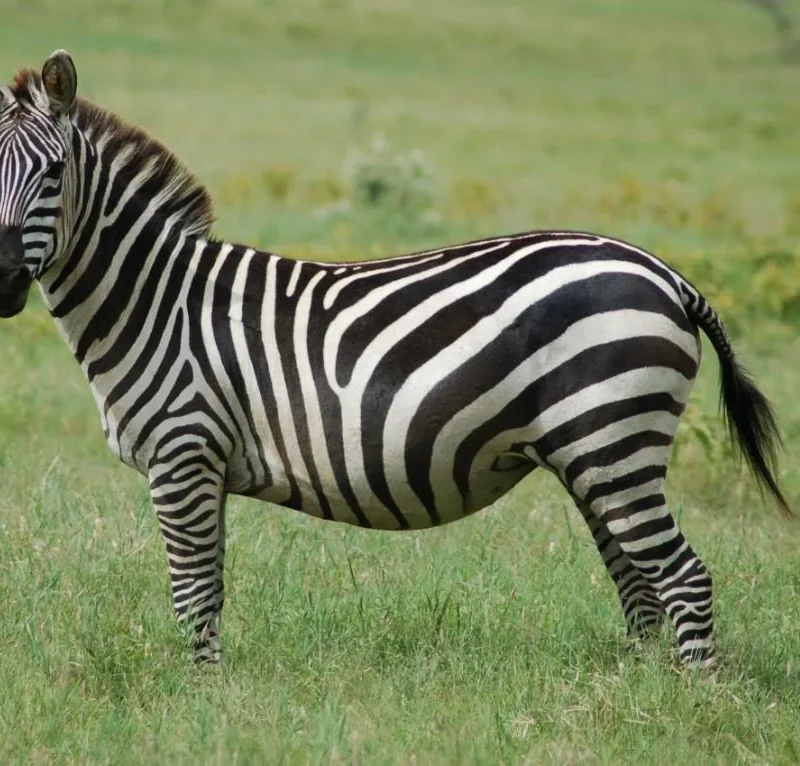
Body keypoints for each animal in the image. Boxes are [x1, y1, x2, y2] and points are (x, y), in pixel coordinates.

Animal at [0, 50, 790, 668]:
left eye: (55, 173)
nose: (4, 278)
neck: (157, 301)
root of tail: (666, 273)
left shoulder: (184, 454)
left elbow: (194, 595)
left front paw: (203, 701)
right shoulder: (204, 466)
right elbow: (209, 590)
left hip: (613, 436)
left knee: (684, 578)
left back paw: (692, 701)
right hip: (597, 451)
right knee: (639, 583)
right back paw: (638, 692)